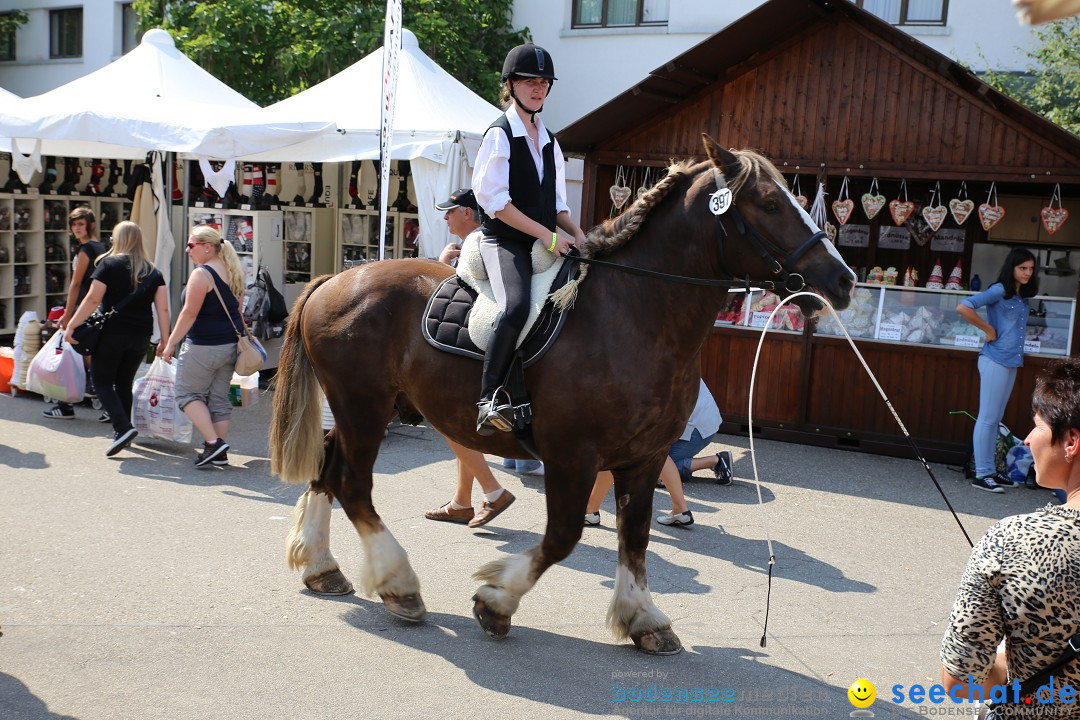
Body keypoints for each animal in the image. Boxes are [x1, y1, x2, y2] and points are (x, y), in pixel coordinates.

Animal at [267, 133, 851, 651]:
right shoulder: (573, 455)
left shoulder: (644, 457)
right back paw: (399, 586)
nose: (841, 281)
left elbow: (634, 537)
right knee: (352, 483)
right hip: (363, 408)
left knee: (327, 468)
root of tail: (337, 279)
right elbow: (563, 536)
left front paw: (644, 618)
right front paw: (496, 601)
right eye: (771, 203)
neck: (635, 313)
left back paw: (321, 566)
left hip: (361, 411)